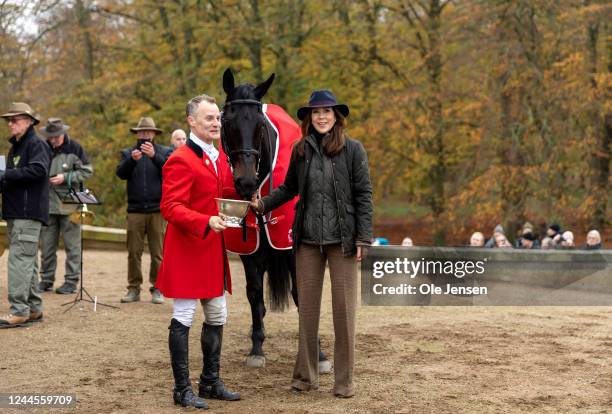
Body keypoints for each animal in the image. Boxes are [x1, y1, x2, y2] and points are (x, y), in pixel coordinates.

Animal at [221, 68, 330, 372]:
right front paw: (257, 348)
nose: (246, 181)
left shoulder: (292, 246)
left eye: (260, 125)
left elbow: (302, 294)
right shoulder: (250, 248)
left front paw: (318, 353)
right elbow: (255, 293)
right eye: (226, 121)